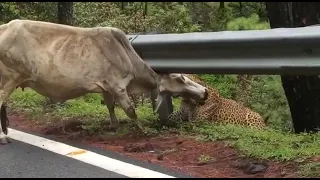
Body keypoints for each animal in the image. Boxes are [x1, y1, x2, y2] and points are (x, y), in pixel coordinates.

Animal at [0, 19, 209, 145]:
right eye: (180, 78)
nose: (205, 91)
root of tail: (5, 26)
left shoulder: (106, 87)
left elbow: (110, 106)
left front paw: (114, 126)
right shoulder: (118, 86)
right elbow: (130, 110)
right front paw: (143, 130)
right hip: (9, 78)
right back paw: (3, 136)